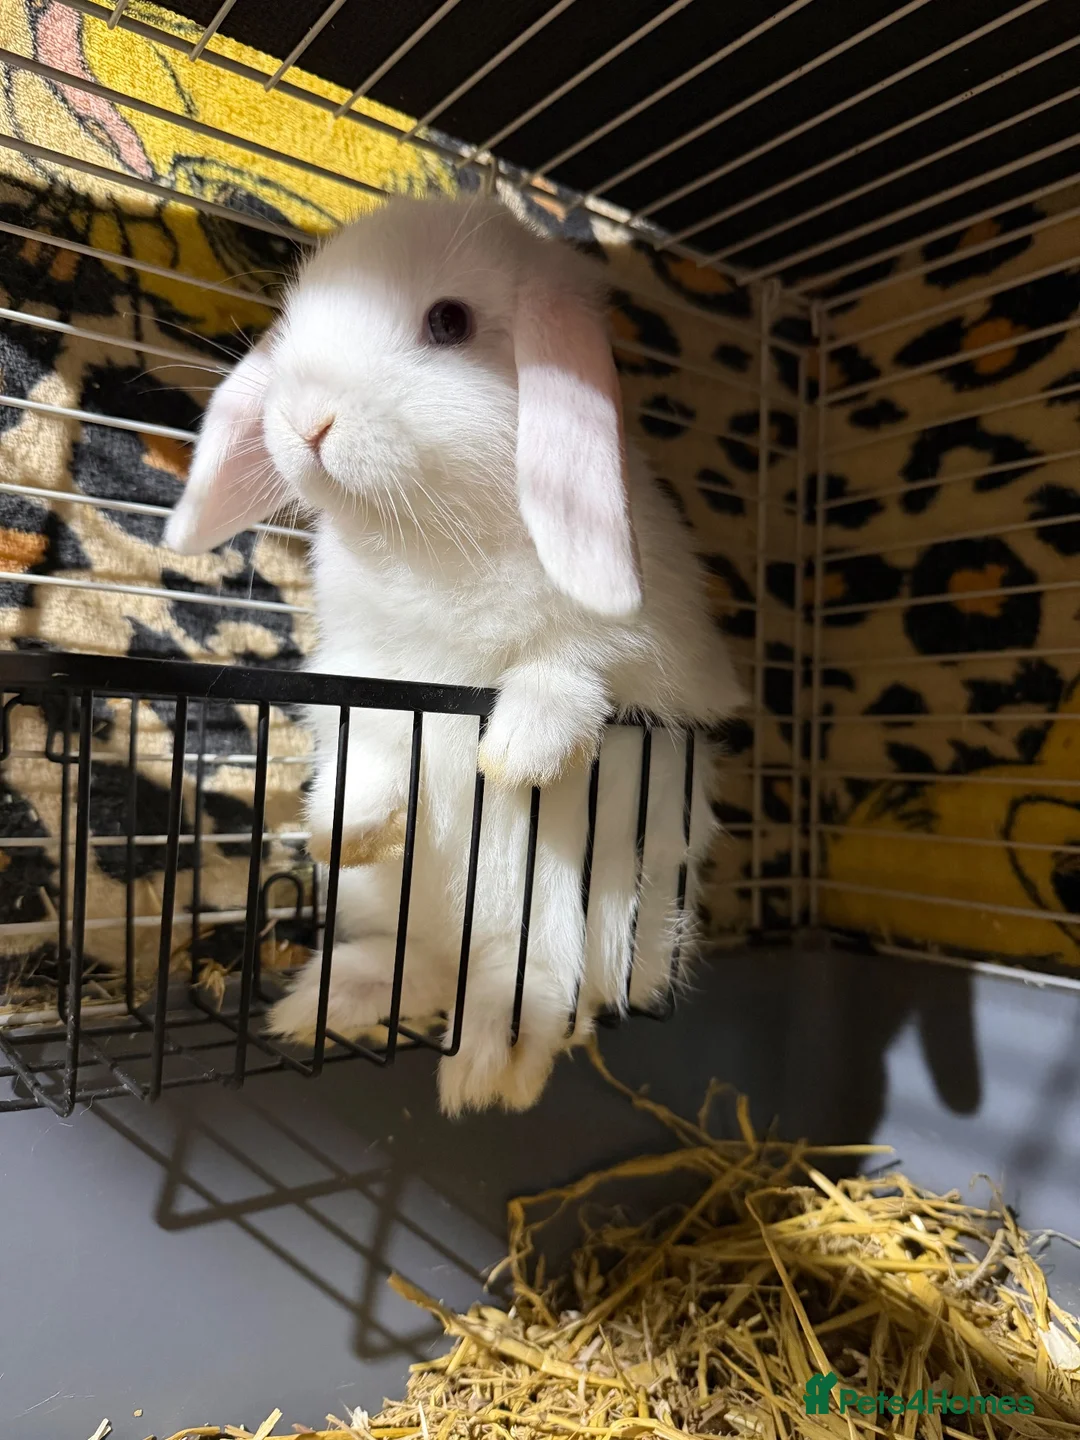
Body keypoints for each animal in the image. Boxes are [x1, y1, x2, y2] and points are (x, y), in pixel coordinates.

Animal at [165, 193, 745, 1115]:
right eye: (292, 327)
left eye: (449, 322)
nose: (305, 419)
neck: (428, 540)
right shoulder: (365, 679)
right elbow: (367, 750)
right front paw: (343, 828)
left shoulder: (640, 662)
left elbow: (570, 671)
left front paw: (515, 753)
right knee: (429, 971)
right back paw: (324, 1001)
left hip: (565, 910)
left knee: (532, 993)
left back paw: (485, 1076)